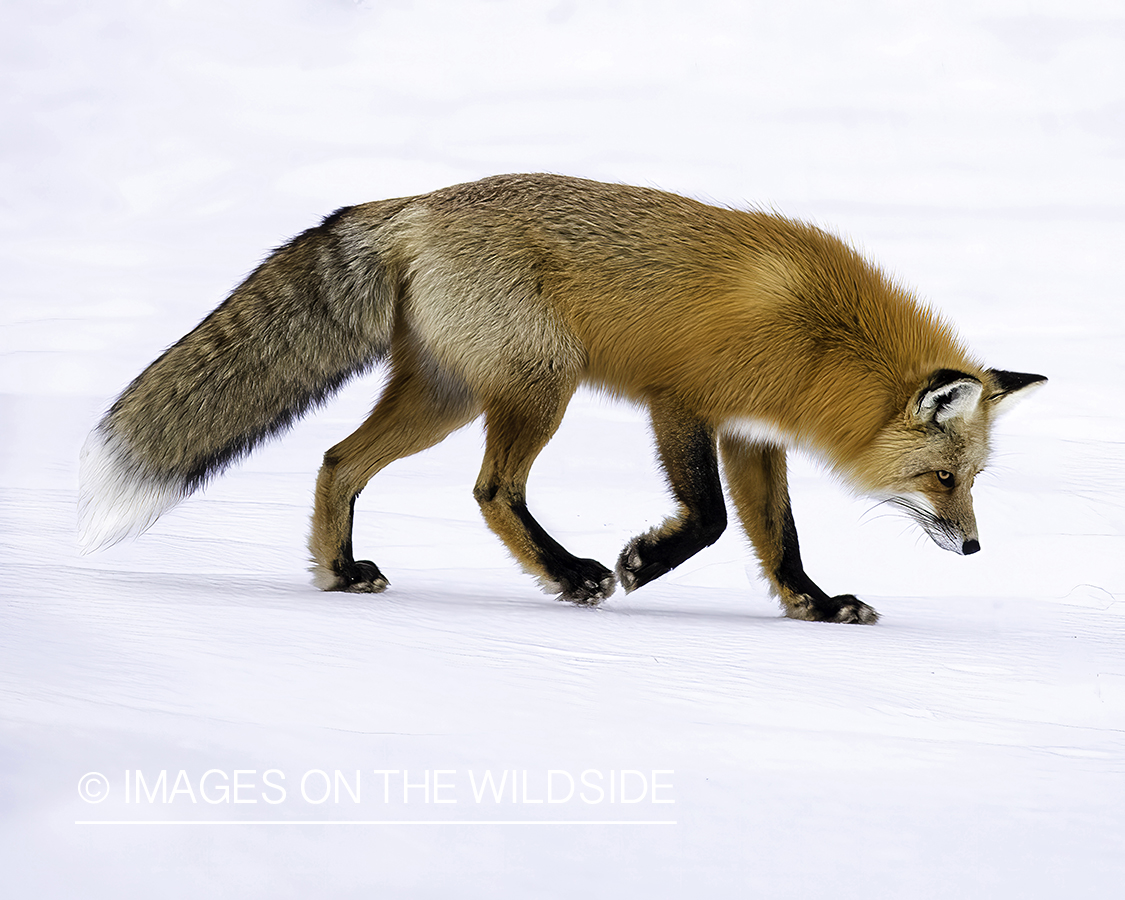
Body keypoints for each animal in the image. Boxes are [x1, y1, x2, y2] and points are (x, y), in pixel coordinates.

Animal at [79, 175, 1044, 625]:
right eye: (942, 480)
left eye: (970, 481)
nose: (972, 547)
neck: (819, 335)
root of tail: (417, 203)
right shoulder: (681, 402)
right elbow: (707, 520)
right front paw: (640, 563)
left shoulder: (750, 433)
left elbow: (776, 536)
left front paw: (812, 604)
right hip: (540, 387)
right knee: (491, 490)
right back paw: (568, 573)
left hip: (444, 398)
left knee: (336, 461)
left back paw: (339, 572)